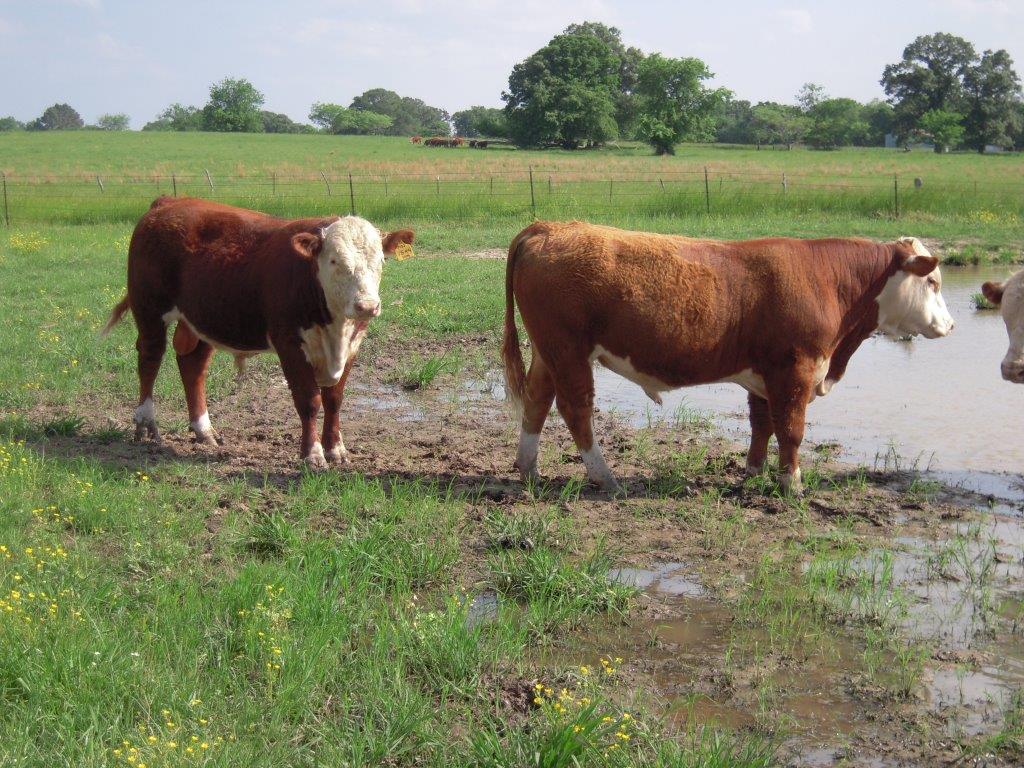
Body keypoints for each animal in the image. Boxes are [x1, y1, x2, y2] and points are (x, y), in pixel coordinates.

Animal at [101, 197, 414, 467]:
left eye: (381, 261)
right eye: (335, 260)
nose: (367, 306)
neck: (334, 326)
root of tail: (168, 202)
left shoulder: (351, 345)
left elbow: (334, 400)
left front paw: (336, 449)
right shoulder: (290, 344)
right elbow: (309, 401)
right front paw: (312, 454)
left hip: (203, 319)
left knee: (193, 366)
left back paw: (204, 430)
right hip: (149, 308)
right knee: (150, 359)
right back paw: (145, 423)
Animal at [502, 221, 955, 495]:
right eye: (932, 281)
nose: (950, 326)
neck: (829, 281)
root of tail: (550, 227)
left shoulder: (765, 373)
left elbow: (762, 424)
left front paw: (754, 472)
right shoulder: (796, 370)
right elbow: (791, 430)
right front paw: (792, 485)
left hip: (548, 352)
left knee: (537, 401)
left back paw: (529, 468)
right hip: (568, 350)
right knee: (575, 409)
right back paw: (606, 477)